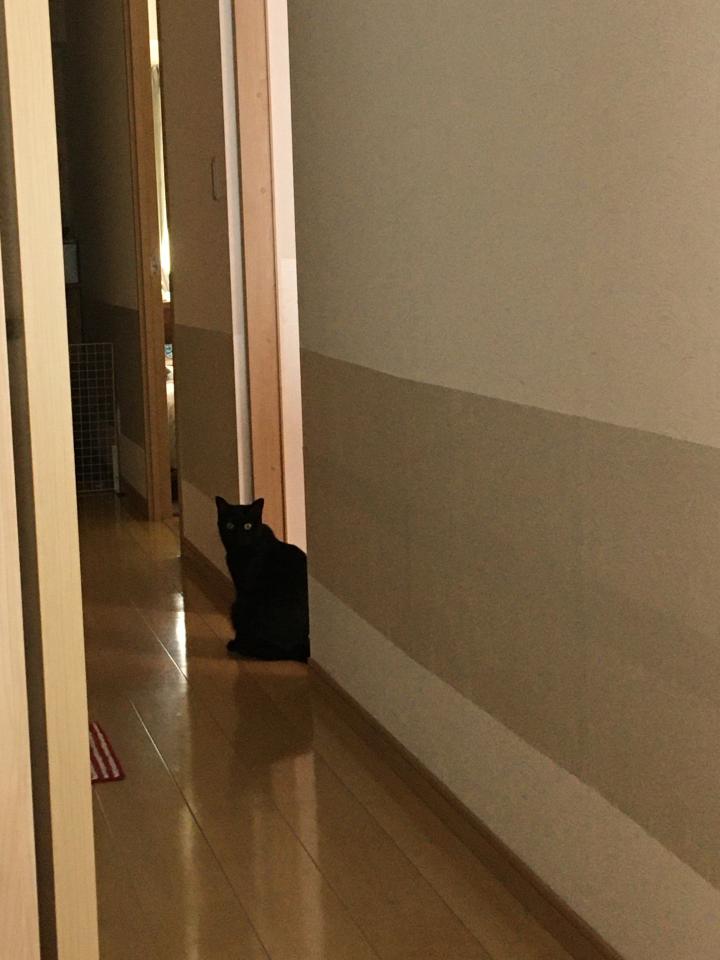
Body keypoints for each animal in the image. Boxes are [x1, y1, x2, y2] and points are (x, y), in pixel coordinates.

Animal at [215, 496, 310, 662]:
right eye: (230, 525)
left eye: (247, 526)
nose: (239, 536)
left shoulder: (244, 591)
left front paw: (236, 643)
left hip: (238, 606)